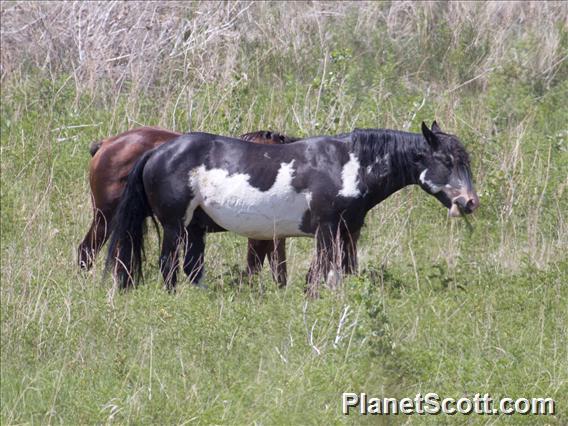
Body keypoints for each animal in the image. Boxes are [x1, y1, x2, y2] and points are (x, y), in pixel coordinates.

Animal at [104, 121, 478, 294]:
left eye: (465, 162)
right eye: (446, 161)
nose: (470, 202)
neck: (349, 165)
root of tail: (157, 151)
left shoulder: (348, 231)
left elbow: (340, 272)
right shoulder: (326, 229)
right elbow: (321, 274)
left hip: (195, 228)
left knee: (192, 269)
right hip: (174, 225)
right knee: (168, 266)